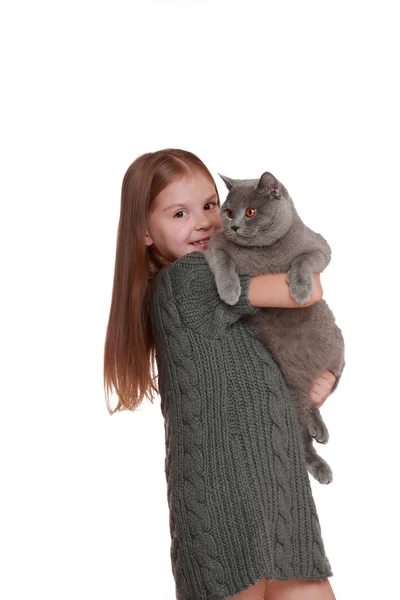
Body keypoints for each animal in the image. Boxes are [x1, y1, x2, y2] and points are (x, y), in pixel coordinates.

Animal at [205, 171, 346, 486]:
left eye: (251, 212)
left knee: (312, 409)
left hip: (339, 356)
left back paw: (320, 432)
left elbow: (302, 261)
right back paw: (319, 462)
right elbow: (224, 261)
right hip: (290, 392)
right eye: (228, 212)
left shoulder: (320, 246)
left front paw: (301, 290)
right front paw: (230, 293)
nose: (234, 226)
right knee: (302, 435)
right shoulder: (213, 246)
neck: (264, 253)